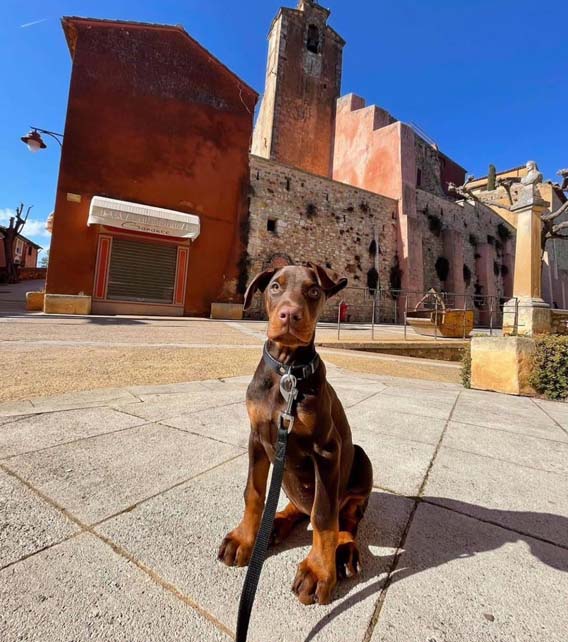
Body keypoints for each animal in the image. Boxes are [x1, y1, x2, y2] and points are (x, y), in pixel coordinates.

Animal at [217, 262, 372, 604]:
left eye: (313, 290)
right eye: (275, 286)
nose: (289, 315)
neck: (288, 372)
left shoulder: (326, 450)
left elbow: (324, 516)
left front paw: (318, 571)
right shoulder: (256, 438)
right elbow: (253, 492)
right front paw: (244, 539)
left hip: (361, 461)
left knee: (344, 519)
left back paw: (344, 551)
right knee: (299, 508)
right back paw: (273, 525)